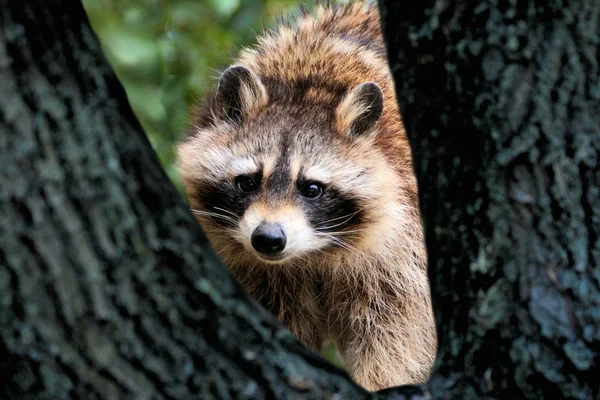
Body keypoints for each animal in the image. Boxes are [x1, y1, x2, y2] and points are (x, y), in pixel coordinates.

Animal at [178, 0, 436, 390]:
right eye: (248, 182)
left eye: (312, 189)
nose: (268, 239)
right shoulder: (258, 273)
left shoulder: (405, 251)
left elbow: (397, 334)